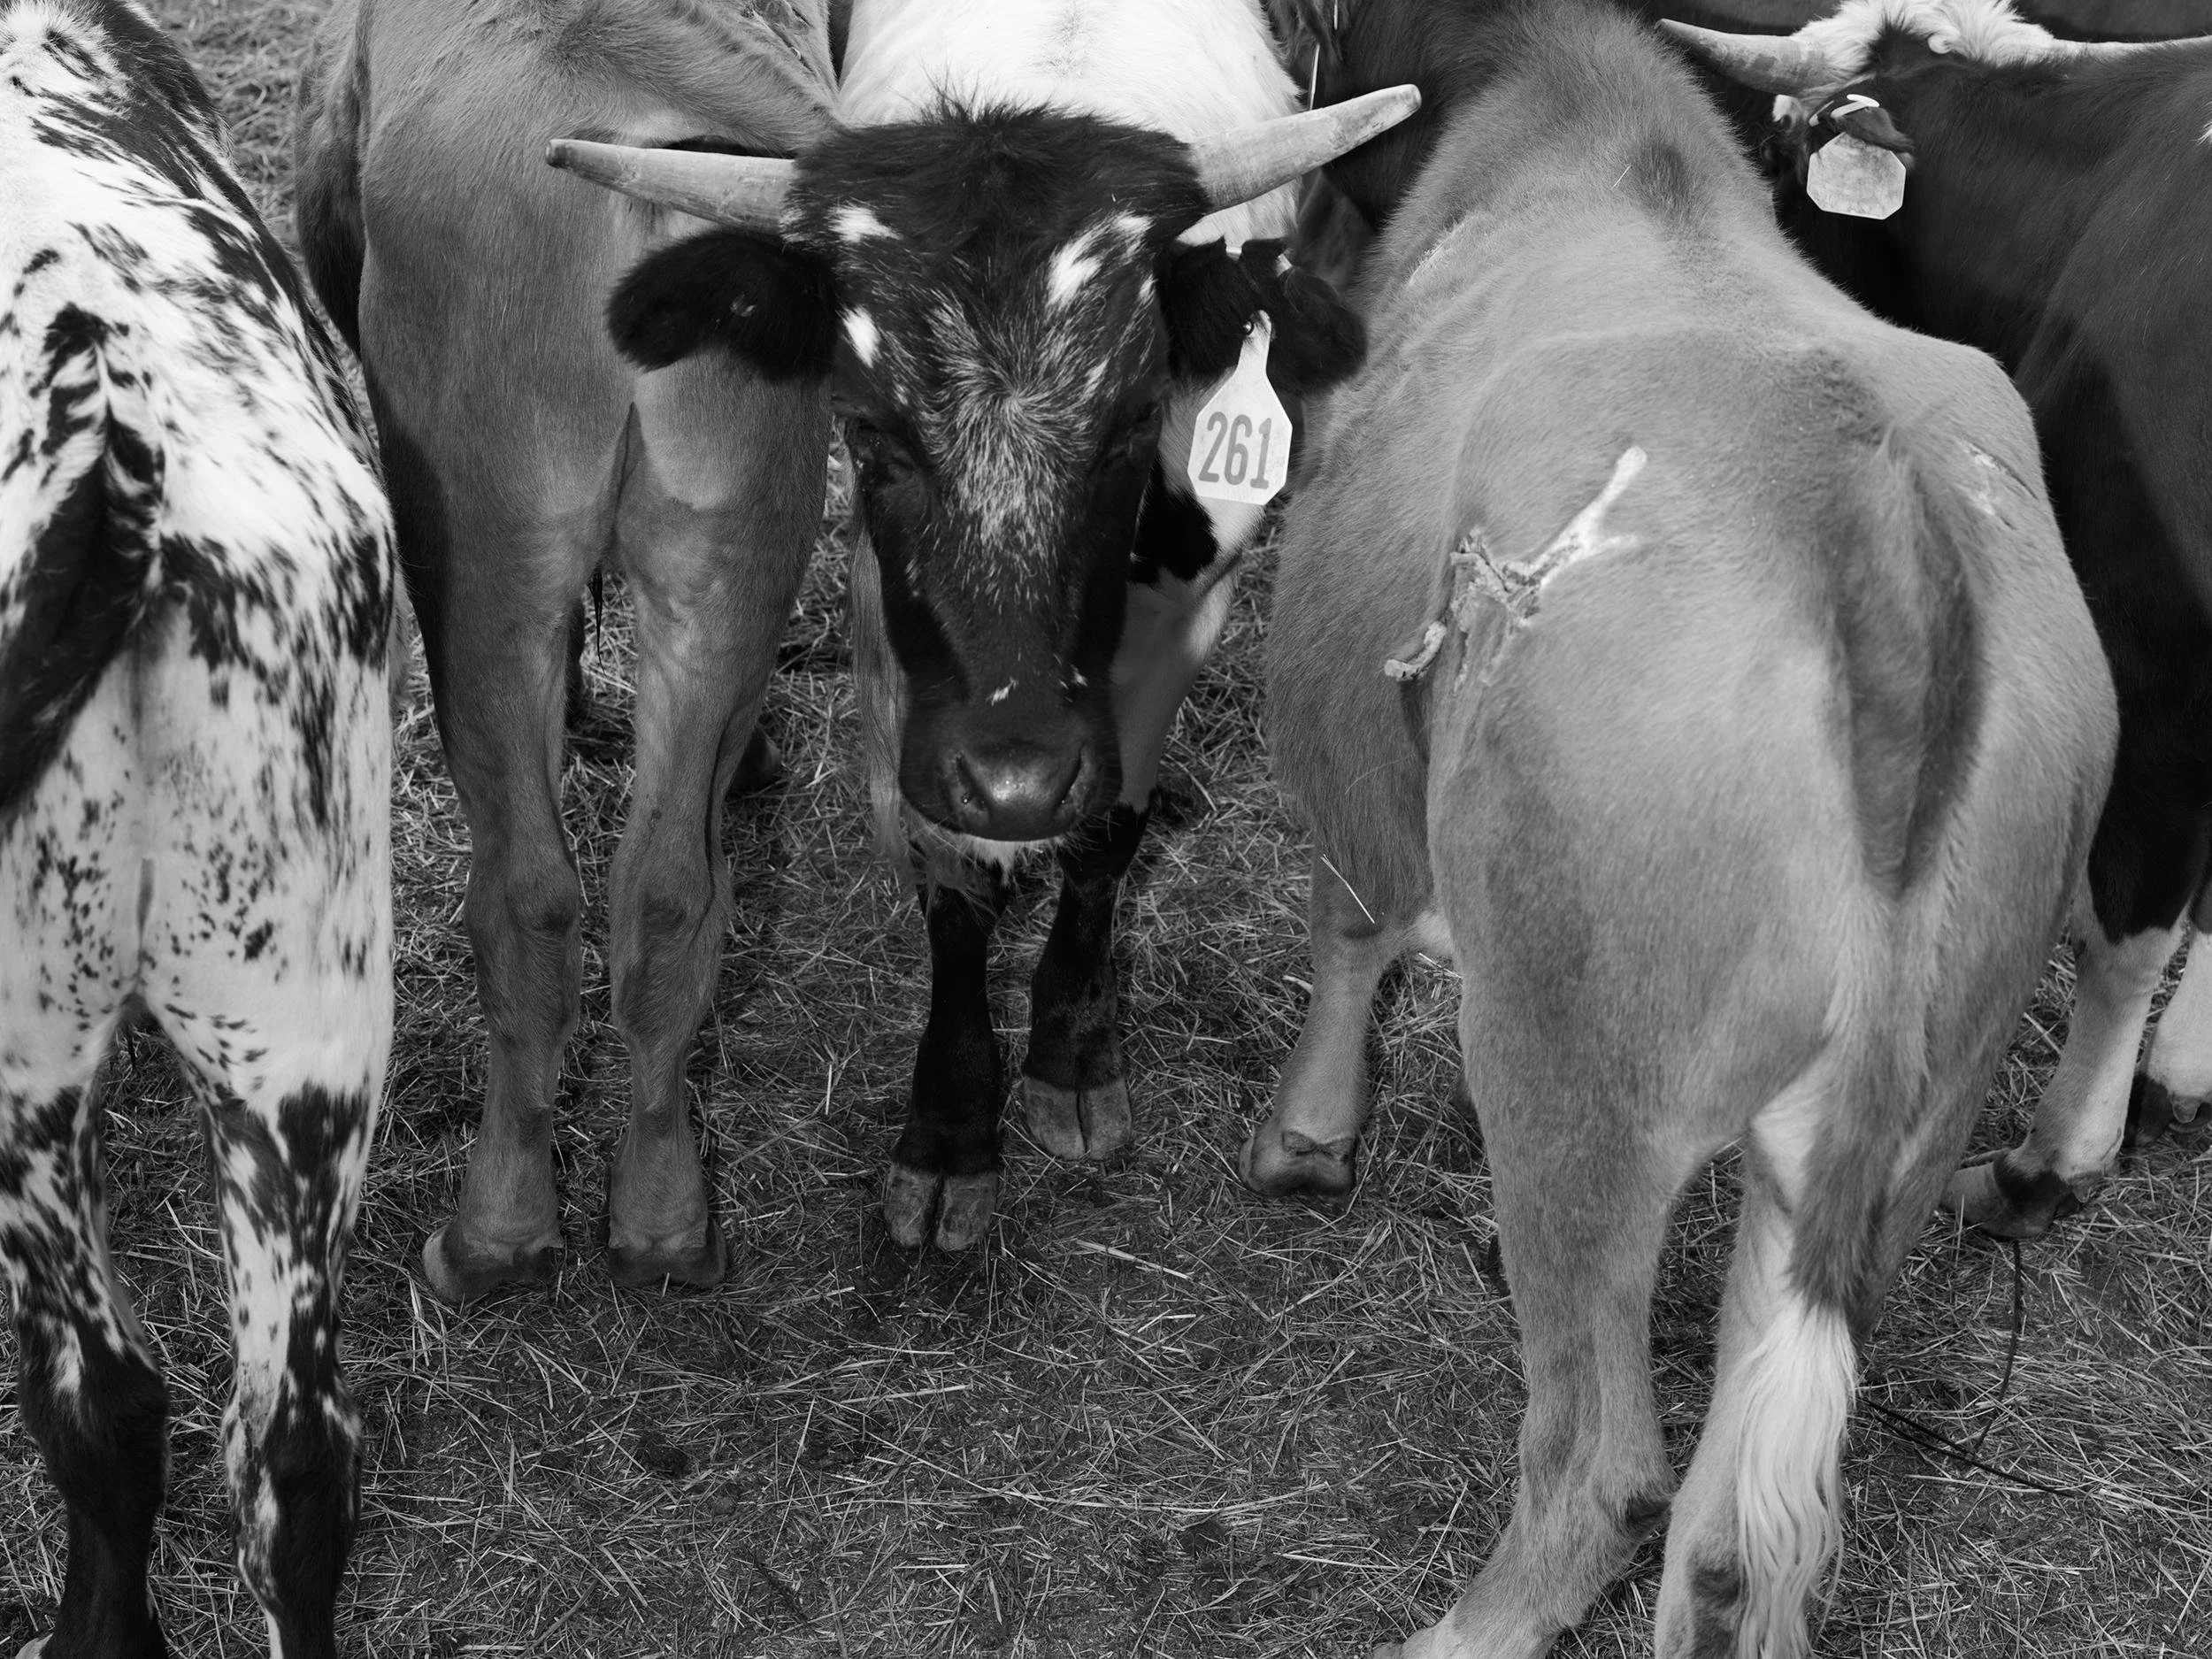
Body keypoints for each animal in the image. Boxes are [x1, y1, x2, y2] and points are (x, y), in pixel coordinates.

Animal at [296, 0, 844, 1302]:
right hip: (736, 535)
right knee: (672, 889)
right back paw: (665, 1225)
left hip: (480, 537)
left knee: (527, 896)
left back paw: (489, 1235)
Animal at [547, 0, 1414, 1253]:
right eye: (869, 430)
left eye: (1136, 418)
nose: (1017, 779)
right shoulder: (895, 653)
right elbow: (953, 886)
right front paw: (951, 1133)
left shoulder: (1184, 615)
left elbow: (1107, 838)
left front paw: (1070, 1056)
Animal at [1241, 1, 2113, 1654]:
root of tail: (1870, 514)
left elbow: (1347, 902)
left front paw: (1307, 1135)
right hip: (1906, 1120)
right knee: (1729, 1533)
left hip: (1569, 1071)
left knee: (1606, 1466)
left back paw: (1462, 1623)